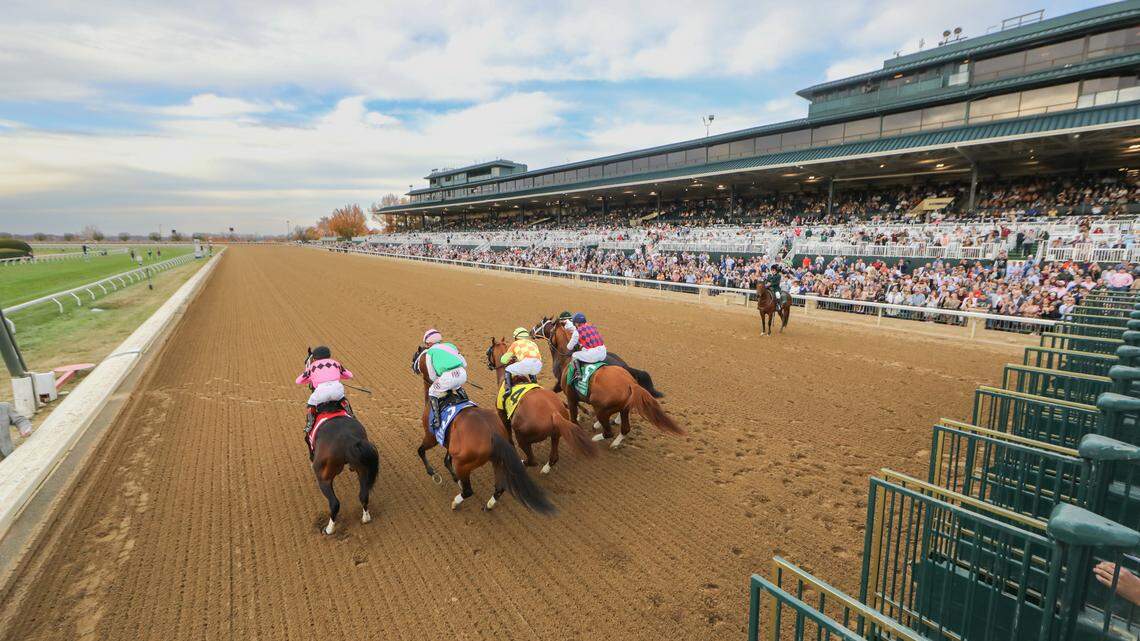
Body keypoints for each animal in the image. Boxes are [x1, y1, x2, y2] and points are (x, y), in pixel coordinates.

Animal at [301, 348, 380, 535]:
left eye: (307, 361)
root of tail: (348, 440)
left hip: (324, 477)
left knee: (335, 503)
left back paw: (329, 529)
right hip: (363, 470)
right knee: (363, 495)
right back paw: (366, 517)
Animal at [411, 345, 555, 513]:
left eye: (417, 355)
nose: (412, 364)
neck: (441, 398)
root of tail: (492, 434)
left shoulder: (431, 437)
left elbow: (421, 451)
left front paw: (433, 473)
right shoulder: (450, 442)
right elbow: (446, 460)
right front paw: (455, 479)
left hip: (464, 463)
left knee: (468, 491)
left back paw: (455, 502)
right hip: (497, 460)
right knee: (499, 488)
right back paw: (489, 504)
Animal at [485, 337, 597, 473]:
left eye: (488, 352)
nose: (488, 364)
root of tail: (554, 413)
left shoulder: (503, 416)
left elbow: (509, 439)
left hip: (522, 437)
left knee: (532, 460)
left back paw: (522, 463)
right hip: (556, 434)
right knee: (554, 457)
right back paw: (546, 468)